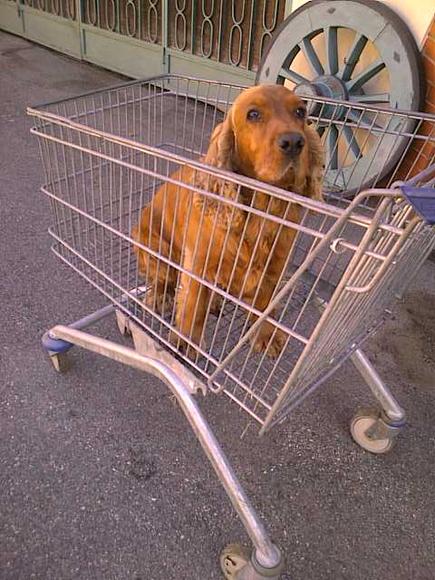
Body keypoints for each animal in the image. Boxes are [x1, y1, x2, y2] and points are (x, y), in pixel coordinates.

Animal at [132, 84, 325, 357]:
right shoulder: (198, 264)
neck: (262, 207)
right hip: (154, 245)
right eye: (253, 114)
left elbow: (266, 306)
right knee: (163, 279)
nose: (295, 142)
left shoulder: (275, 266)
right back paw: (160, 298)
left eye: (300, 111)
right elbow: (192, 306)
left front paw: (266, 336)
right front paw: (186, 342)